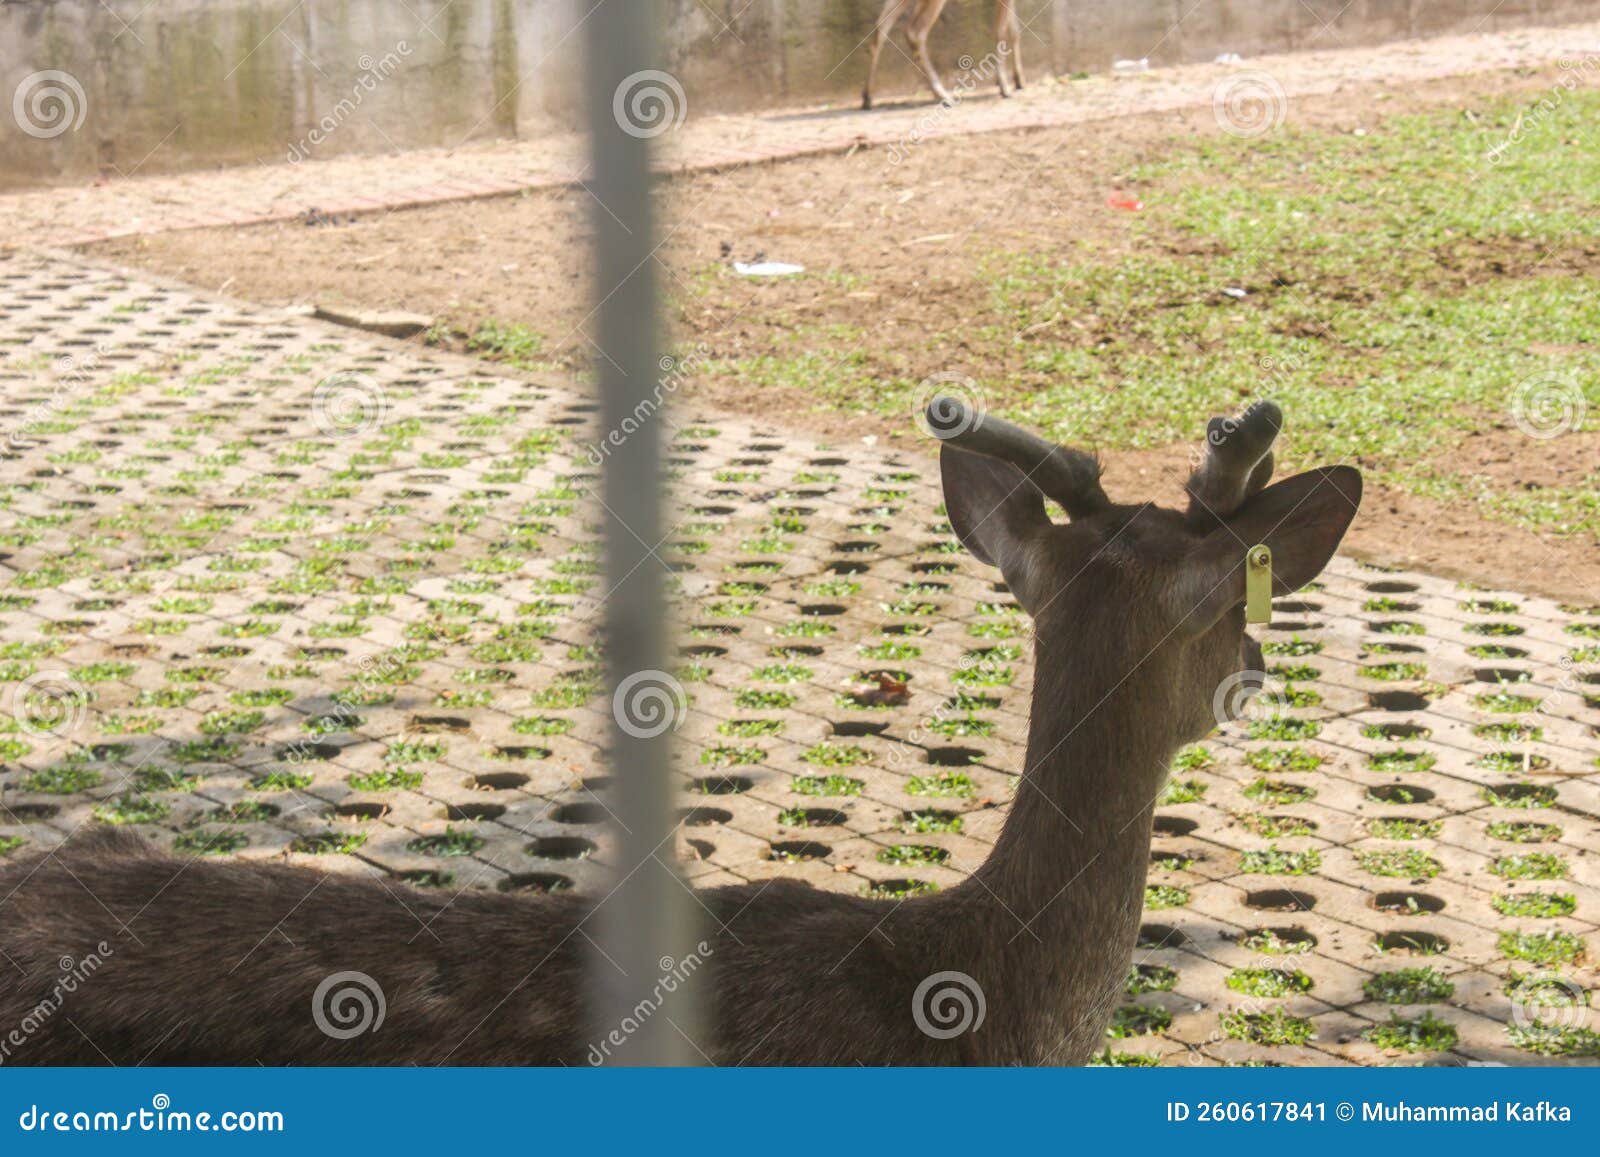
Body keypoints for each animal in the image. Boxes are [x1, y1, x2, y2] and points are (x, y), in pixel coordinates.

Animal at [862, 0, 1025, 109]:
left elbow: (1015, 32)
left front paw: (1019, 82)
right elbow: (1001, 32)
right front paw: (1005, 88)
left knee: (880, 27)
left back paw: (867, 98)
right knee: (914, 31)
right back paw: (943, 95)